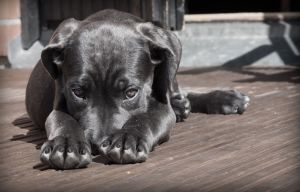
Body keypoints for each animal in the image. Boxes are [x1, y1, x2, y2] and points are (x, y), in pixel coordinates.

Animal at [25, 9, 250, 170]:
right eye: (78, 92)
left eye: (131, 93)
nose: (97, 144)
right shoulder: (58, 103)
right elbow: (62, 120)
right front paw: (65, 145)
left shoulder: (161, 107)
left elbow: (146, 118)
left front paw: (127, 139)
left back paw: (223, 98)